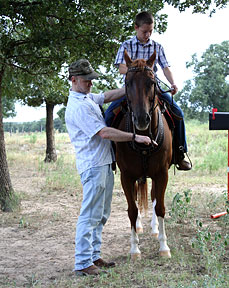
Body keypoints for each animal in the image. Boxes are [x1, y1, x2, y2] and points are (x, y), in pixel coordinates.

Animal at [115, 49, 173, 258]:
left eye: (152, 82)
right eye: (127, 82)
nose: (141, 119)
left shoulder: (162, 174)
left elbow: (160, 207)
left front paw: (164, 247)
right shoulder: (126, 176)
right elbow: (132, 210)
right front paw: (134, 249)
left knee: (154, 197)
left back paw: (155, 229)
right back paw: (139, 227)